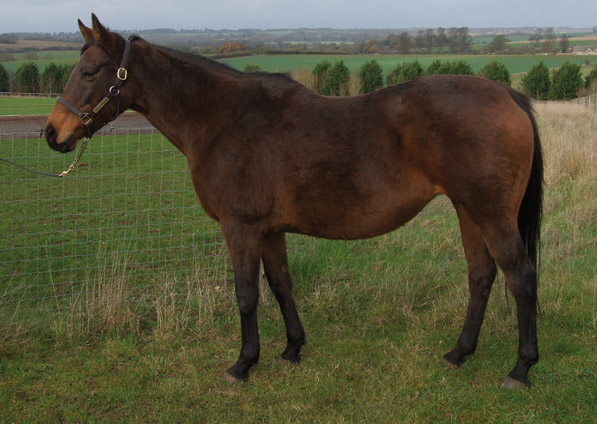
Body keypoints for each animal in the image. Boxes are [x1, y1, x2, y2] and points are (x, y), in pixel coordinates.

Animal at [44, 15, 544, 388]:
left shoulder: (240, 226)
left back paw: (521, 368)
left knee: (519, 277)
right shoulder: (269, 230)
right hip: (467, 211)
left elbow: (247, 294)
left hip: (491, 215)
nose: (52, 133)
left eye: (90, 72)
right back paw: (459, 353)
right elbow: (281, 284)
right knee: (481, 277)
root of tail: (507, 94)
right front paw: (291, 349)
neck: (222, 119)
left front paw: (243, 364)